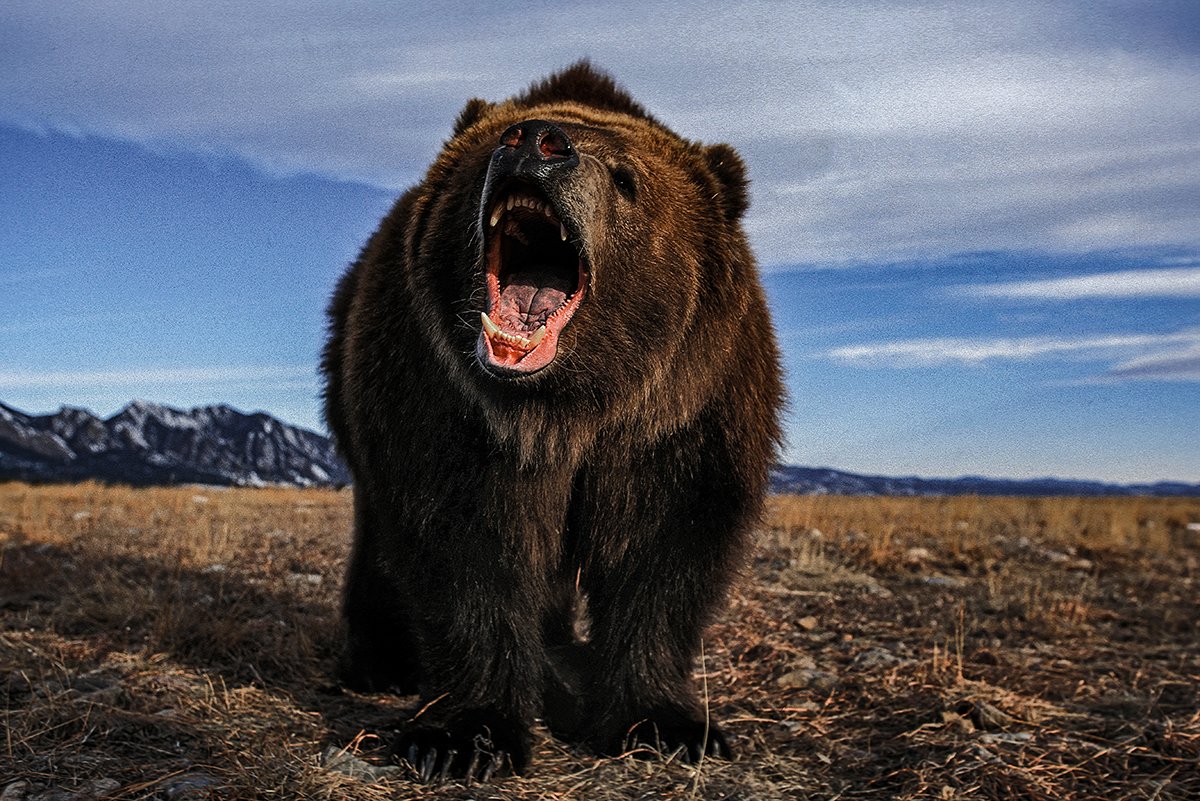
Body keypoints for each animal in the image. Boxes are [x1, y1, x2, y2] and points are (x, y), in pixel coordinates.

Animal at [321, 61, 783, 782]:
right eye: (495, 143)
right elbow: (468, 546)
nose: (536, 141)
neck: (566, 408)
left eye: (626, 177)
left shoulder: (680, 416)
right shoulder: (451, 408)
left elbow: (665, 554)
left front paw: (669, 724)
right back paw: (381, 661)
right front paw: (465, 736)